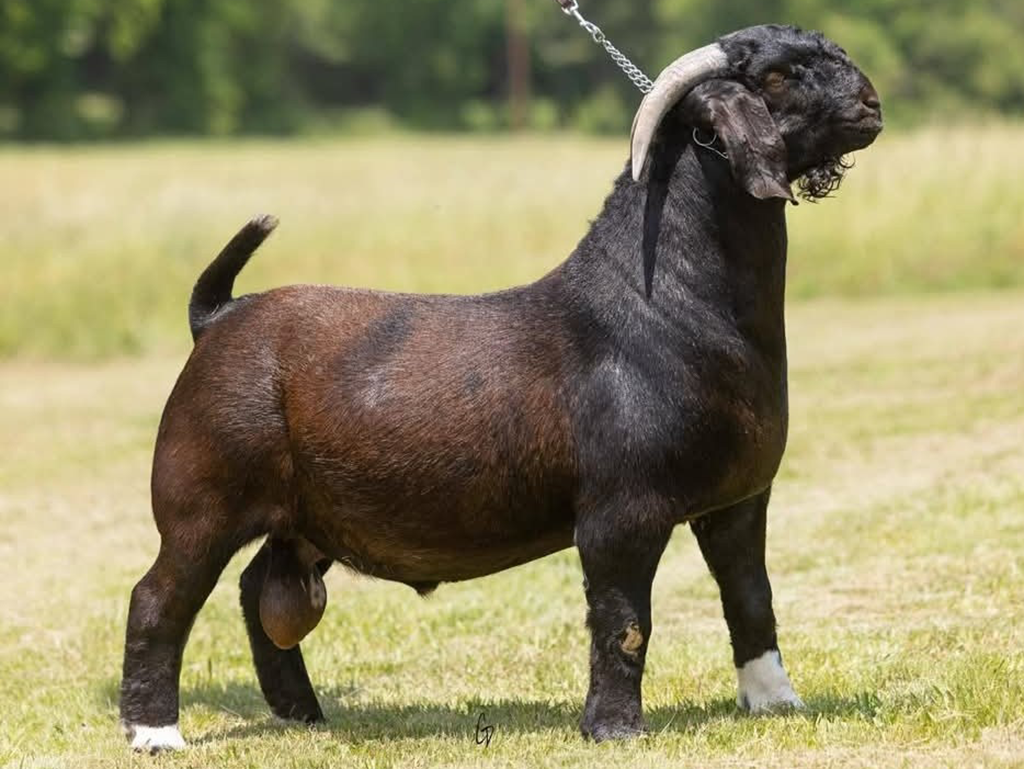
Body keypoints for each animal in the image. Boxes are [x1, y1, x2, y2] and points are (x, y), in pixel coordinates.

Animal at [120, 24, 882, 751]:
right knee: (159, 597)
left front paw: (775, 701)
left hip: (301, 517)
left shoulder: (739, 500)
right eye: (776, 76)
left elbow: (751, 596)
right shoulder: (622, 514)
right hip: (202, 504)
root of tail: (220, 316)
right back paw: (155, 732)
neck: (659, 301)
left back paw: (303, 714)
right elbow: (625, 622)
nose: (870, 102)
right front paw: (614, 728)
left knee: (257, 592)